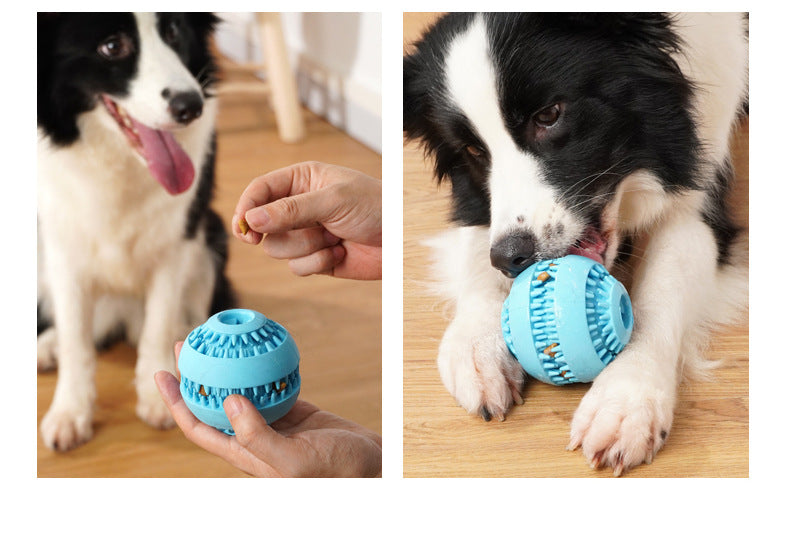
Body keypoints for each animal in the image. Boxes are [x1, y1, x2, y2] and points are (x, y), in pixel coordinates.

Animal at [37, 13, 234, 452]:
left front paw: (159, 397)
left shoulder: (177, 239)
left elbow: (158, 323)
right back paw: (48, 345)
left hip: (213, 237)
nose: (191, 106)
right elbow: (76, 339)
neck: (118, 160)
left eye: (174, 30)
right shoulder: (61, 247)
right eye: (112, 46)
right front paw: (70, 412)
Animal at [408, 12, 748, 474]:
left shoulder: (700, 197)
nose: (511, 258)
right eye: (473, 150)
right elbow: (477, 249)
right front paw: (477, 346)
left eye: (549, 114)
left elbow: (664, 286)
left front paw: (626, 397)